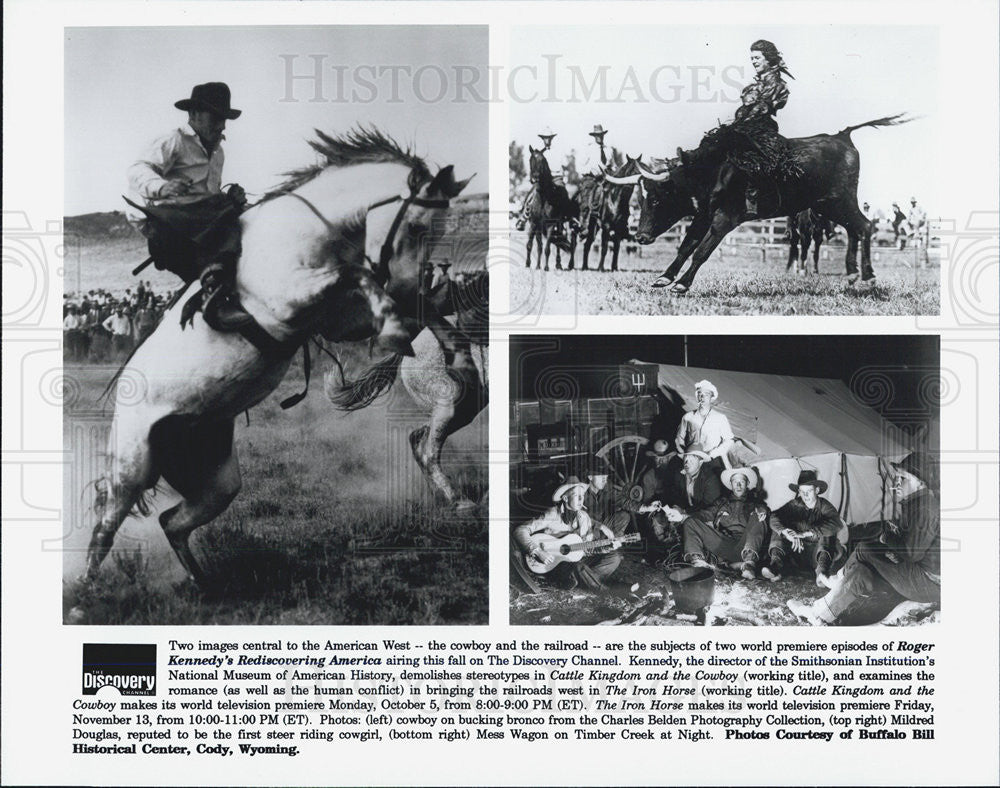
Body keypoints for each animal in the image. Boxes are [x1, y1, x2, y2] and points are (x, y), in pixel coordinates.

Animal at [324, 268, 488, 508]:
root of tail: (414, 343)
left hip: (464, 407)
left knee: (418, 440)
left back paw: (442, 496)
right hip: (452, 404)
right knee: (428, 451)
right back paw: (459, 501)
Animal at [608, 113, 916, 292]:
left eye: (657, 199)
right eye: (640, 198)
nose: (641, 236)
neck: (714, 169)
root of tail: (843, 136)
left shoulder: (724, 219)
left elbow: (701, 251)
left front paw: (682, 285)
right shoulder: (703, 215)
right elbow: (686, 246)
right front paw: (664, 277)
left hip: (840, 200)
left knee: (864, 227)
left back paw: (868, 276)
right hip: (828, 205)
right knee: (855, 229)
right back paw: (852, 274)